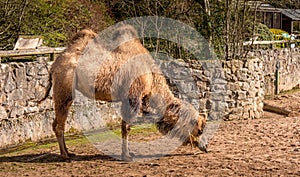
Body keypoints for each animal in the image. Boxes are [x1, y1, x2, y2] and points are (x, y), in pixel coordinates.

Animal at [39, 25, 207, 162]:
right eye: (199, 130)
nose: (205, 147)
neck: (152, 80)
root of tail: (54, 65)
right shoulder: (132, 96)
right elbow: (126, 127)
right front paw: (126, 156)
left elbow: (126, 126)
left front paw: (129, 153)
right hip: (64, 88)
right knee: (59, 123)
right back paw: (65, 155)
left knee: (56, 122)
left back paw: (69, 152)